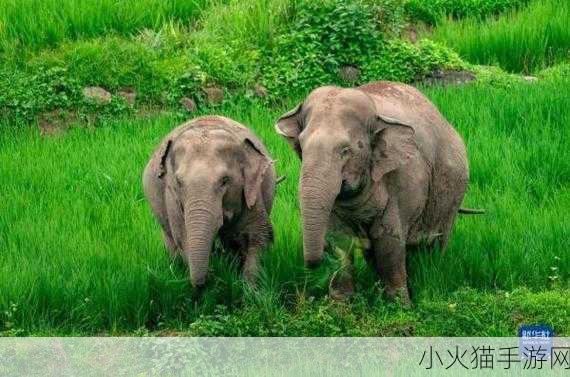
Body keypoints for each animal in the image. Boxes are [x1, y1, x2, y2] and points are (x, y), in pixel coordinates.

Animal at [142, 116, 276, 286]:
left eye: (225, 180)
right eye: (178, 182)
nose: (212, 277)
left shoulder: (251, 191)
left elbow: (258, 235)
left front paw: (249, 289)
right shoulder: (171, 197)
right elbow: (183, 238)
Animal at [276, 81, 474, 302]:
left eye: (345, 150)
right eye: (301, 147)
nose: (313, 264)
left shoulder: (403, 178)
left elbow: (388, 241)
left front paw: (399, 305)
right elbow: (341, 239)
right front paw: (341, 303)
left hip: (452, 193)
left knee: (436, 242)